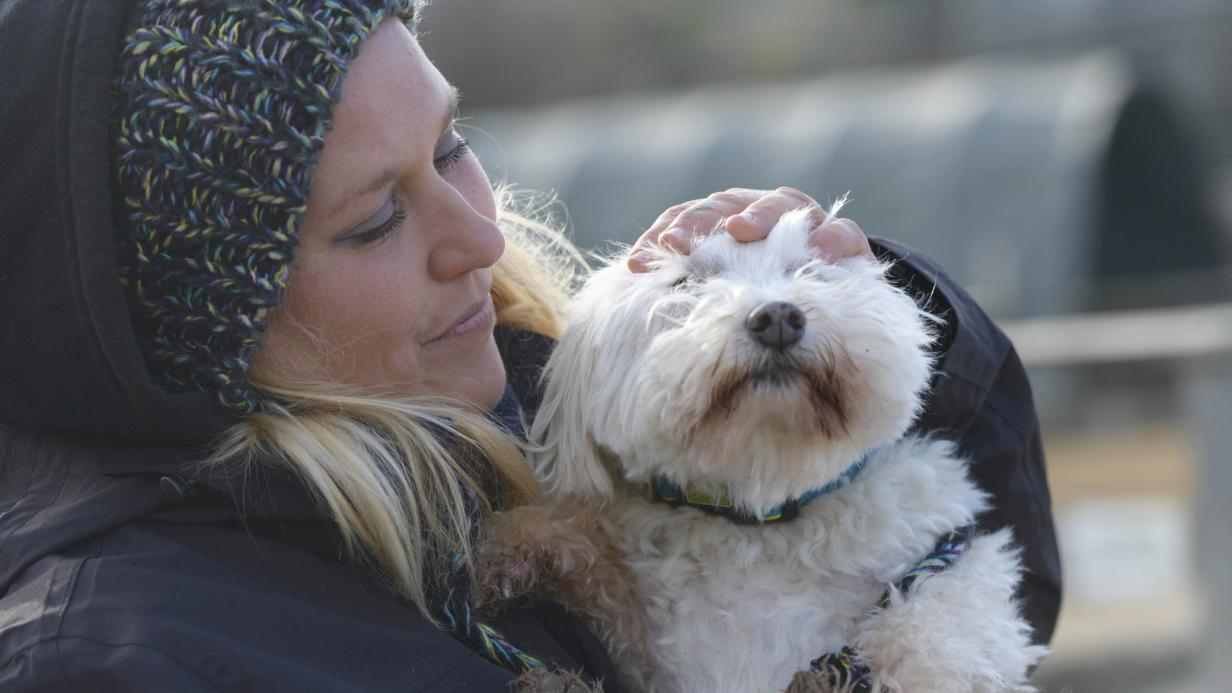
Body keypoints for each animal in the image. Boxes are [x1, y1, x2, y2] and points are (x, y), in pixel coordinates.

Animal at [485, 209, 1044, 690]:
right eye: (686, 283)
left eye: (809, 269)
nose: (777, 316)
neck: (762, 513)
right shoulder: (643, 647)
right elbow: (593, 565)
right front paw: (512, 551)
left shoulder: (951, 563)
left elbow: (942, 619)